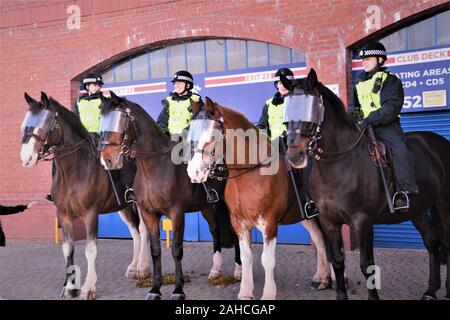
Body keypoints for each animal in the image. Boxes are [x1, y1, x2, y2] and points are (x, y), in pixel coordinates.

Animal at [19, 92, 151, 300]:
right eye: (26, 121)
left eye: (46, 121)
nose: (26, 157)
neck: (75, 171)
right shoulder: (64, 215)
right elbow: (68, 249)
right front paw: (69, 287)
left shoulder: (90, 214)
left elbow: (90, 250)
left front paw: (88, 288)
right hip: (124, 207)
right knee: (135, 232)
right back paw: (133, 267)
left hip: (139, 204)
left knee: (144, 231)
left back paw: (143, 268)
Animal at [97, 92, 241, 300]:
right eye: (101, 119)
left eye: (121, 119)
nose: (107, 159)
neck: (155, 168)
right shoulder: (149, 214)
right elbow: (155, 250)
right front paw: (155, 289)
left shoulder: (177, 213)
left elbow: (176, 250)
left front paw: (178, 290)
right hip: (207, 206)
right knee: (215, 230)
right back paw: (215, 270)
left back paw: (239, 270)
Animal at [185, 97, 330, 300]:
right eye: (190, 131)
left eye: (212, 134)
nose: (194, 172)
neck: (250, 173)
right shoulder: (239, 223)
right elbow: (246, 257)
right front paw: (245, 291)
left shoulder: (269, 223)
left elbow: (267, 260)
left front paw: (268, 294)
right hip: (305, 217)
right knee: (319, 239)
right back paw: (321, 278)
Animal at [282, 69, 450, 300]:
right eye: (286, 108)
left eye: (313, 107)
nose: (294, 155)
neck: (338, 164)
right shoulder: (329, 221)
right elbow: (338, 262)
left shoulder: (362, 221)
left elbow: (366, 264)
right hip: (417, 209)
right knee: (432, 242)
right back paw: (431, 290)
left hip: (444, 203)